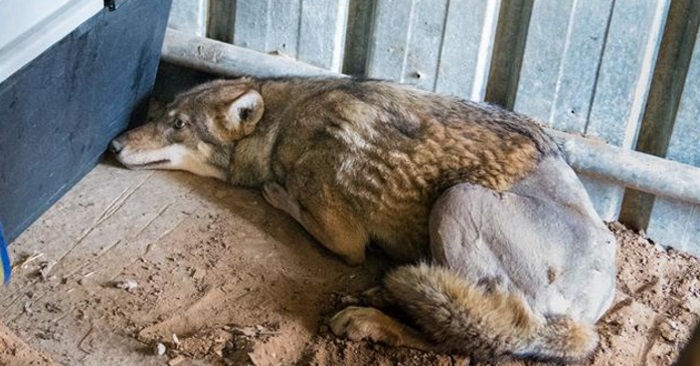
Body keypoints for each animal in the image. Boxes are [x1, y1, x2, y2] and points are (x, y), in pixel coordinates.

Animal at [110, 77, 616, 364]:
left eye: (178, 124)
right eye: (161, 114)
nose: (113, 145)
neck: (282, 124)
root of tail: (587, 316)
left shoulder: (343, 237)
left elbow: (293, 205)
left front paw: (275, 191)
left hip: (456, 201)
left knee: (471, 342)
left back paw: (370, 318)